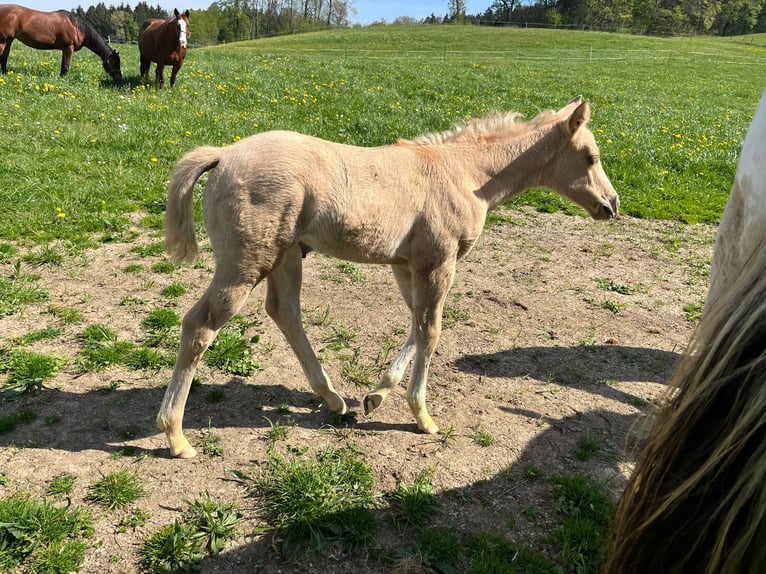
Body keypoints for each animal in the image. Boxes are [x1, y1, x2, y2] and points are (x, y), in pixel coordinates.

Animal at [159, 98, 620, 460]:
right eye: (591, 157)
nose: (612, 205)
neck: (464, 176)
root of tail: (223, 154)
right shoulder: (438, 262)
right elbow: (431, 330)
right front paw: (422, 415)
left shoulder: (406, 264)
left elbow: (416, 324)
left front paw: (376, 396)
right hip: (247, 264)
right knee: (200, 326)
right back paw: (176, 437)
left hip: (286, 256)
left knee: (284, 312)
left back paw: (334, 400)